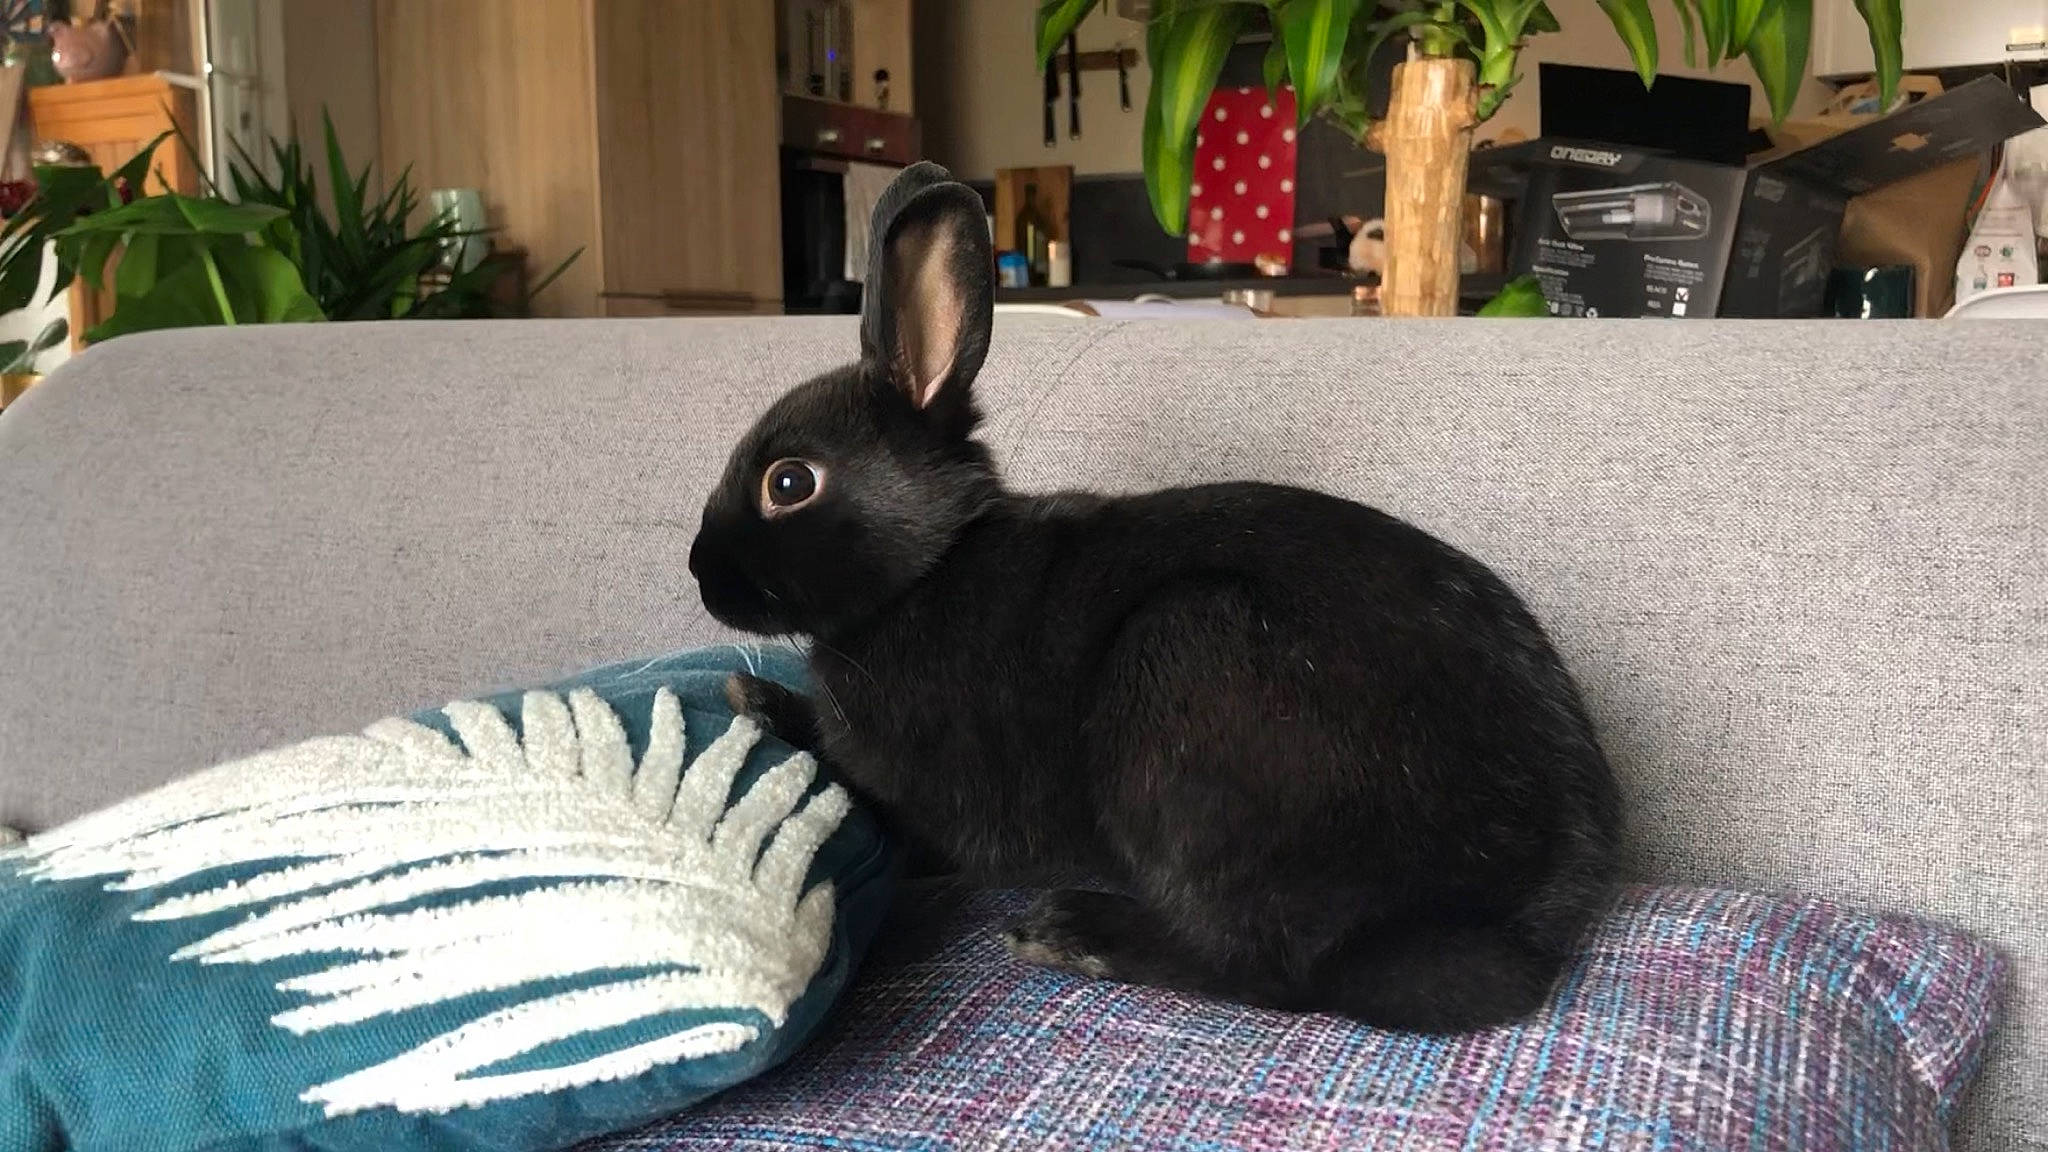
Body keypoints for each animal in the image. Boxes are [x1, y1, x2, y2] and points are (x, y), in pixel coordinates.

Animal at [689, 162, 1620, 1033]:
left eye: (789, 482)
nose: (701, 571)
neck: (929, 570)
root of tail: (1523, 918)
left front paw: (756, 698)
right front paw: (753, 693)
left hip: (1193, 680)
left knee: (1267, 963)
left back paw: (1074, 932)